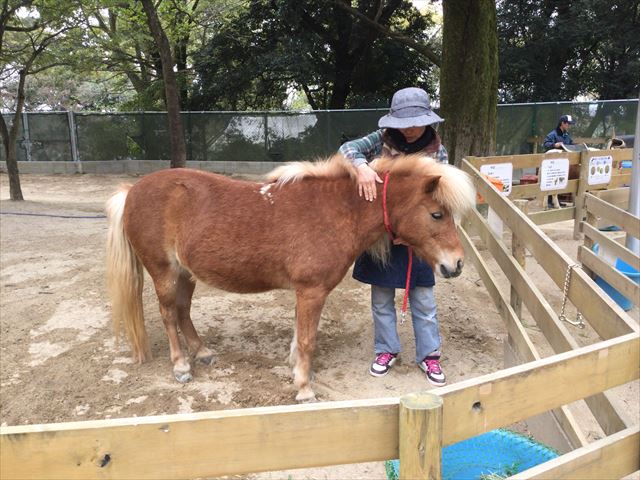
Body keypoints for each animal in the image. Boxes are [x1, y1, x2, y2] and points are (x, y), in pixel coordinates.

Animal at [105, 154, 476, 402]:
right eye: (437, 214)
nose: (456, 264)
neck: (335, 211)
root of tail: (132, 191)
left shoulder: (305, 293)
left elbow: (300, 336)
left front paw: (299, 371)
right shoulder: (311, 292)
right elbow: (308, 339)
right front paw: (304, 388)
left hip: (186, 273)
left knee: (183, 311)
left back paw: (203, 353)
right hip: (164, 272)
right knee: (169, 313)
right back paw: (182, 365)